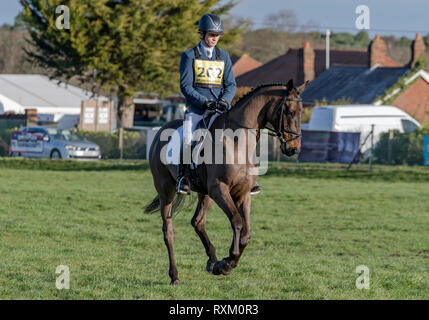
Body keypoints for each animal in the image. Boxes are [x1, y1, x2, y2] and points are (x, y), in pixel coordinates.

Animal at [144, 79, 308, 284]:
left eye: (301, 111)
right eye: (289, 111)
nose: (294, 149)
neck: (238, 142)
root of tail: (159, 132)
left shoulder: (243, 193)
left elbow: (246, 233)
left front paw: (224, 263)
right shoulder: (220, 189)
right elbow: (237, 222)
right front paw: (227, 263)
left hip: (205, 194)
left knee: (198, 221)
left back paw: (212, 261)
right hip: (167, 190)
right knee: (169, 231)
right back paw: (175, 275)